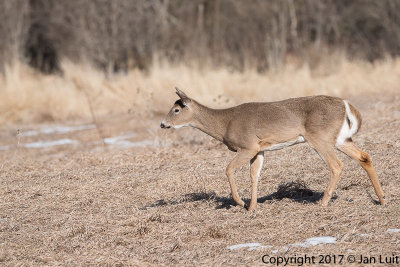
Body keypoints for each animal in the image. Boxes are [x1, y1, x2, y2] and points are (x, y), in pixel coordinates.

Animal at [160, 88, 388, 211]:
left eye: (176, 109)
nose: (162, 124)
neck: (224, 124)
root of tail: (346, 105)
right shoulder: (260, 149)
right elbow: (254, 175)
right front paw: (252, 207)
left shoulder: (248, 146)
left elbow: (228, 169)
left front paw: (240, 202)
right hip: (341, 138)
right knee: (364, 156)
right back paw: (382, 198)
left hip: (319, 137)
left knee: (337, 165)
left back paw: (323, 202)